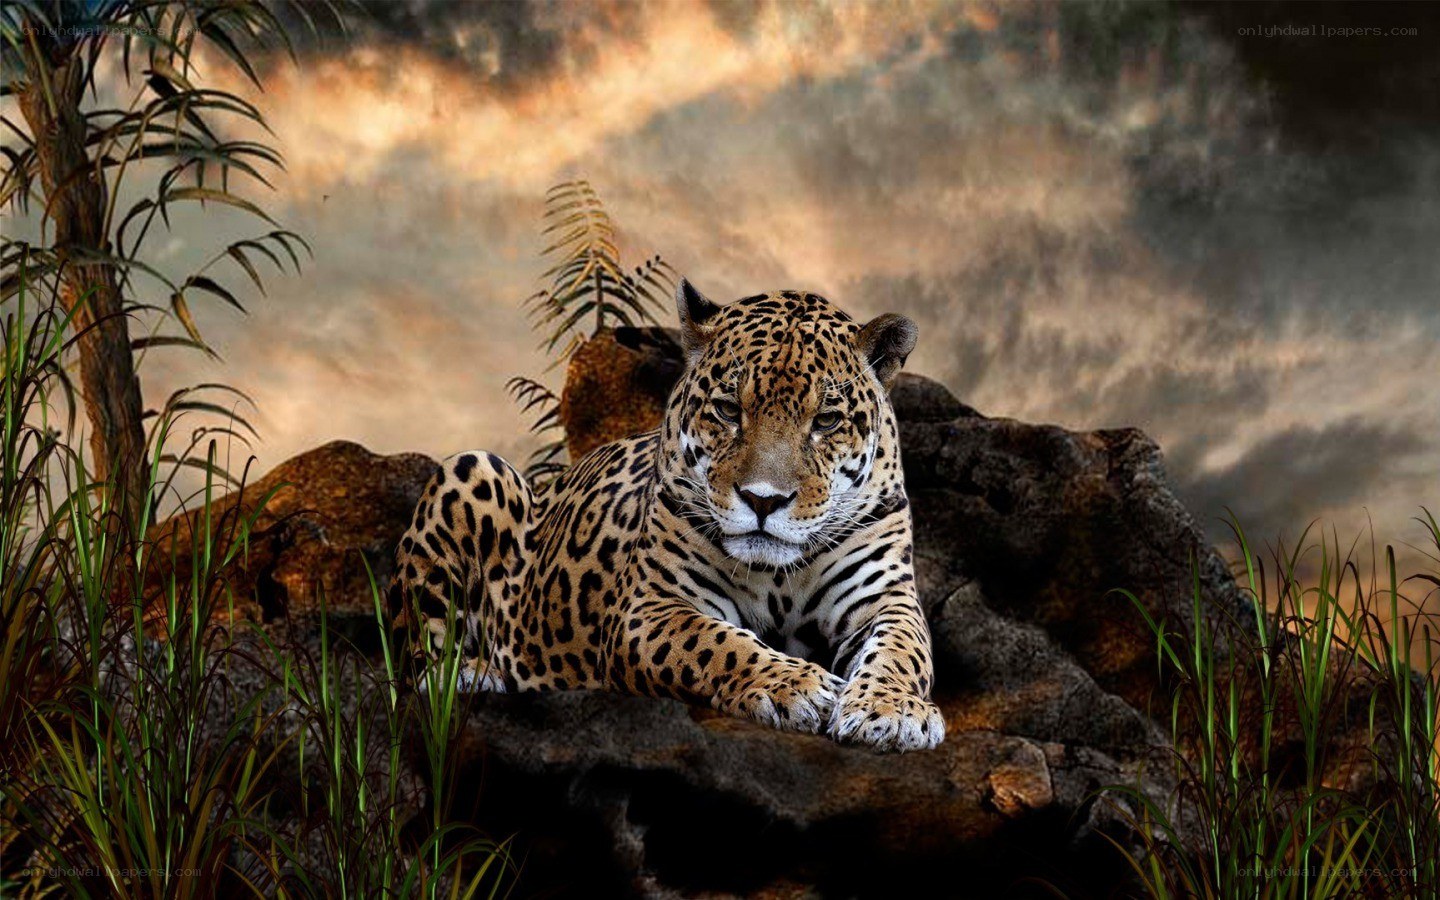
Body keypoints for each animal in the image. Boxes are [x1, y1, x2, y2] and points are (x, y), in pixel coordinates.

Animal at [387, 280, 944, 752]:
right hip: (471, 468)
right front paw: (797, 686)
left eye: (826, 421)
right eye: (727, 410)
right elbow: (717, 643)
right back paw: (475, 674)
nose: (763, 500)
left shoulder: (885, 599)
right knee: (415, 665)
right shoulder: (650, 609)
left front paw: (892, 711)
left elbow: (902, 650)